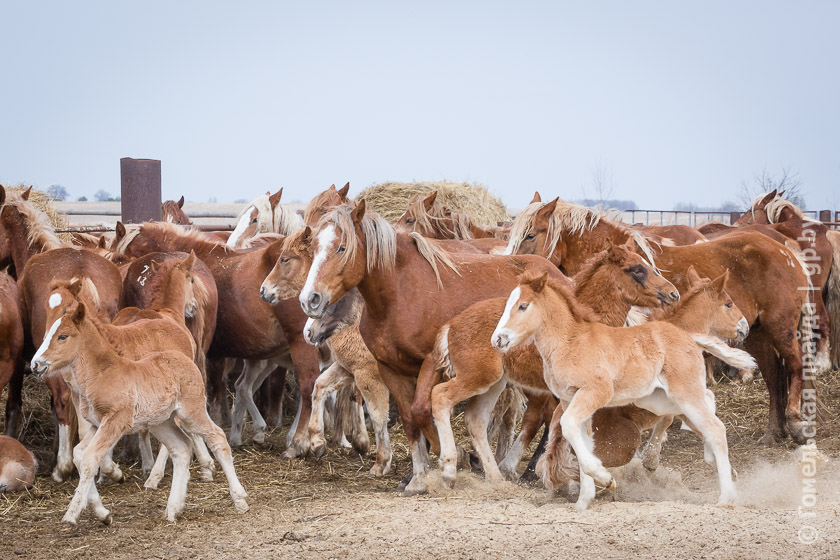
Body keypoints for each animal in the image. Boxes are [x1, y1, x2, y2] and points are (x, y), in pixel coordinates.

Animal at [0, 185, 124, 482]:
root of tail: (81, 271)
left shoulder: (23, 360)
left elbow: (16, 403)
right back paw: (108, 468)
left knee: (62, 399)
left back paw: (64, 466)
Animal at [32, 300, 249, 524]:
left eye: (62, 336)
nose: (35, 364)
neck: (103, 374)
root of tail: (186, 358)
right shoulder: (96, 425)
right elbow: (79, 455)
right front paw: (102, 513)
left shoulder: (115, 421)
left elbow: (90, 459)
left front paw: (72, 514)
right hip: (162, 423)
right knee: (181, 448)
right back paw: (173, 508)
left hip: (192, 413)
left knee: (217, 437)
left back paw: (239, 499)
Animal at [492, 270, 740, 510]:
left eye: (523, 306)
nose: (498, 339)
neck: (570, 342)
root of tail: (689, 337)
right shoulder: (570, 400)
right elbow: (582, 441)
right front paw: (584, 500)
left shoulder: (596, 392)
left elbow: (569, 426)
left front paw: (604, 478)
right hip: (659, 400)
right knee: (706, 407)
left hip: (684, 394)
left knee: (715, 428)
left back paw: (726, 497)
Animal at [506, 199, 820, 444]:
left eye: (530, 235)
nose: (515, 271)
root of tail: (787, 250)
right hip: (757, 333)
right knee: (773, 376)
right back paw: (774, 432)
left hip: (781, 328)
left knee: (796, 365)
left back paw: (796, 424)